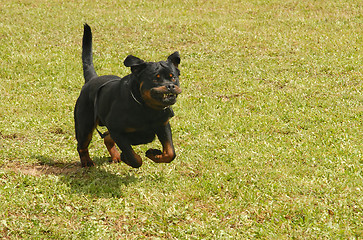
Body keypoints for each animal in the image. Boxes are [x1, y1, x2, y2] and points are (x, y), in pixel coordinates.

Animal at [74, 23, 182, 167]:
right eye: (155, 79)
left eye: (173, 77)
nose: (170, 85)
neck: (147, 108)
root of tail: (92, 80)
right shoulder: (117, 130)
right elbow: (134, 159)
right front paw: (127, 157)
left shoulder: (163, 125)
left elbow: (170, 153)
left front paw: (154, 154)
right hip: (85, 125)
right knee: (82, 145)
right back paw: (87, 161)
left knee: (107, 138)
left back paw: (116, 156)